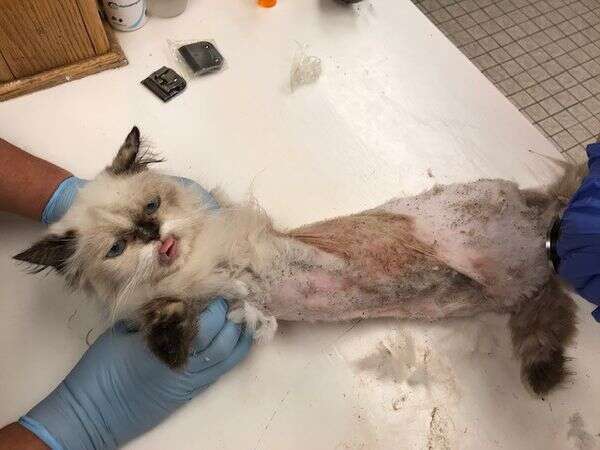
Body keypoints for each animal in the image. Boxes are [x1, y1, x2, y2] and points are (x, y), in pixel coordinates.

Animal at [16, 125, 580, 394]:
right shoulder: (196, 299)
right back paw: (545, 367)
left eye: (152, 207)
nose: (153, 235)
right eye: (117, 248)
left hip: (505, 252)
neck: (190, 268)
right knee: (548, 304)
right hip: (512, 288)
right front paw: (168, 339)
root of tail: (533, 214)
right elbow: (169, 326)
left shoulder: (237, 259)